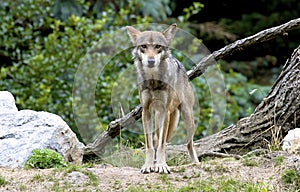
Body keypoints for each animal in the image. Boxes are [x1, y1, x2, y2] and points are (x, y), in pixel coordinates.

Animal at [126, 23, 199, 173]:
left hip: (186, 118)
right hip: (159, 118)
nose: (151, 61)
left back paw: (196, 163)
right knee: (156, 139)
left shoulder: (165, 111)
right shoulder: (146, 111)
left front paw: (161, 165)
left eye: (158, 46)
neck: (153, 81)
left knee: (188, 144)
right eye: (144, 46)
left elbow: (161, 145)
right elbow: (149, 145)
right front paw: (148, 165)